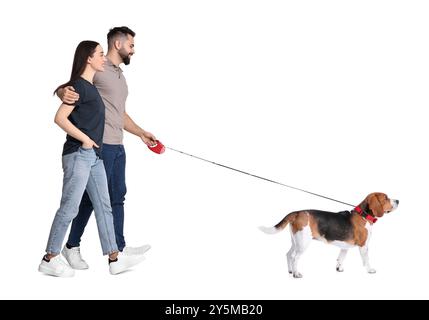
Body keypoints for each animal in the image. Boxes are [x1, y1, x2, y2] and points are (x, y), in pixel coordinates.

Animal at [260, 192, 400, 278]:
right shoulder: (364, 246)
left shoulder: (344, 246)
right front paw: (370, 270)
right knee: (295, 257)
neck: (364, 215)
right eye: (386, 198)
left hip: (296, 241)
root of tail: (297, 212)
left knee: (288, 254)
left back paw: (290, 271)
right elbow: (366, 259)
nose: (398, 200)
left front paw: (339, 268)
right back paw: (296, 274)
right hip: (303, 243)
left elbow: (340, 258)